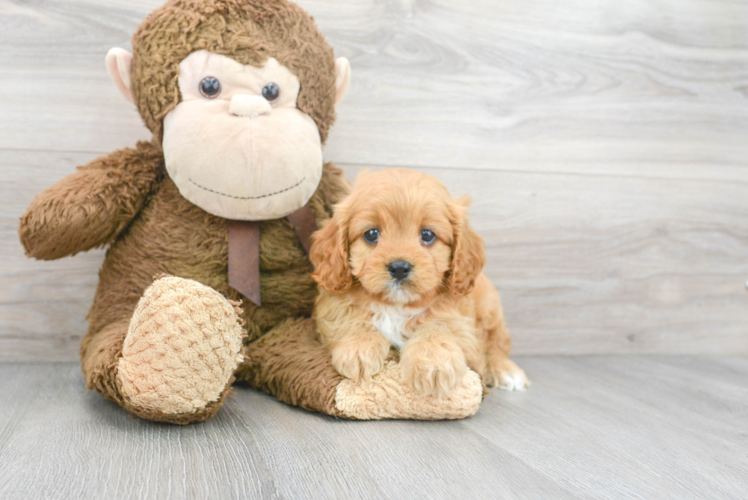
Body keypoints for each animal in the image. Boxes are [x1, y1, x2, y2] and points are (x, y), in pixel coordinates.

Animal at [308, 170, 524, 396]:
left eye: (427, 235)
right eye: (371, 234)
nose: (399, 267)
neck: (396, 305)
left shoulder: (461, 323)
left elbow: (440, 326)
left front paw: (433, 362)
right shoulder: (333, 304)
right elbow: (350, 317)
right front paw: (358, 347)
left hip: (490, 307)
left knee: (496, 342)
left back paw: (506, 370)